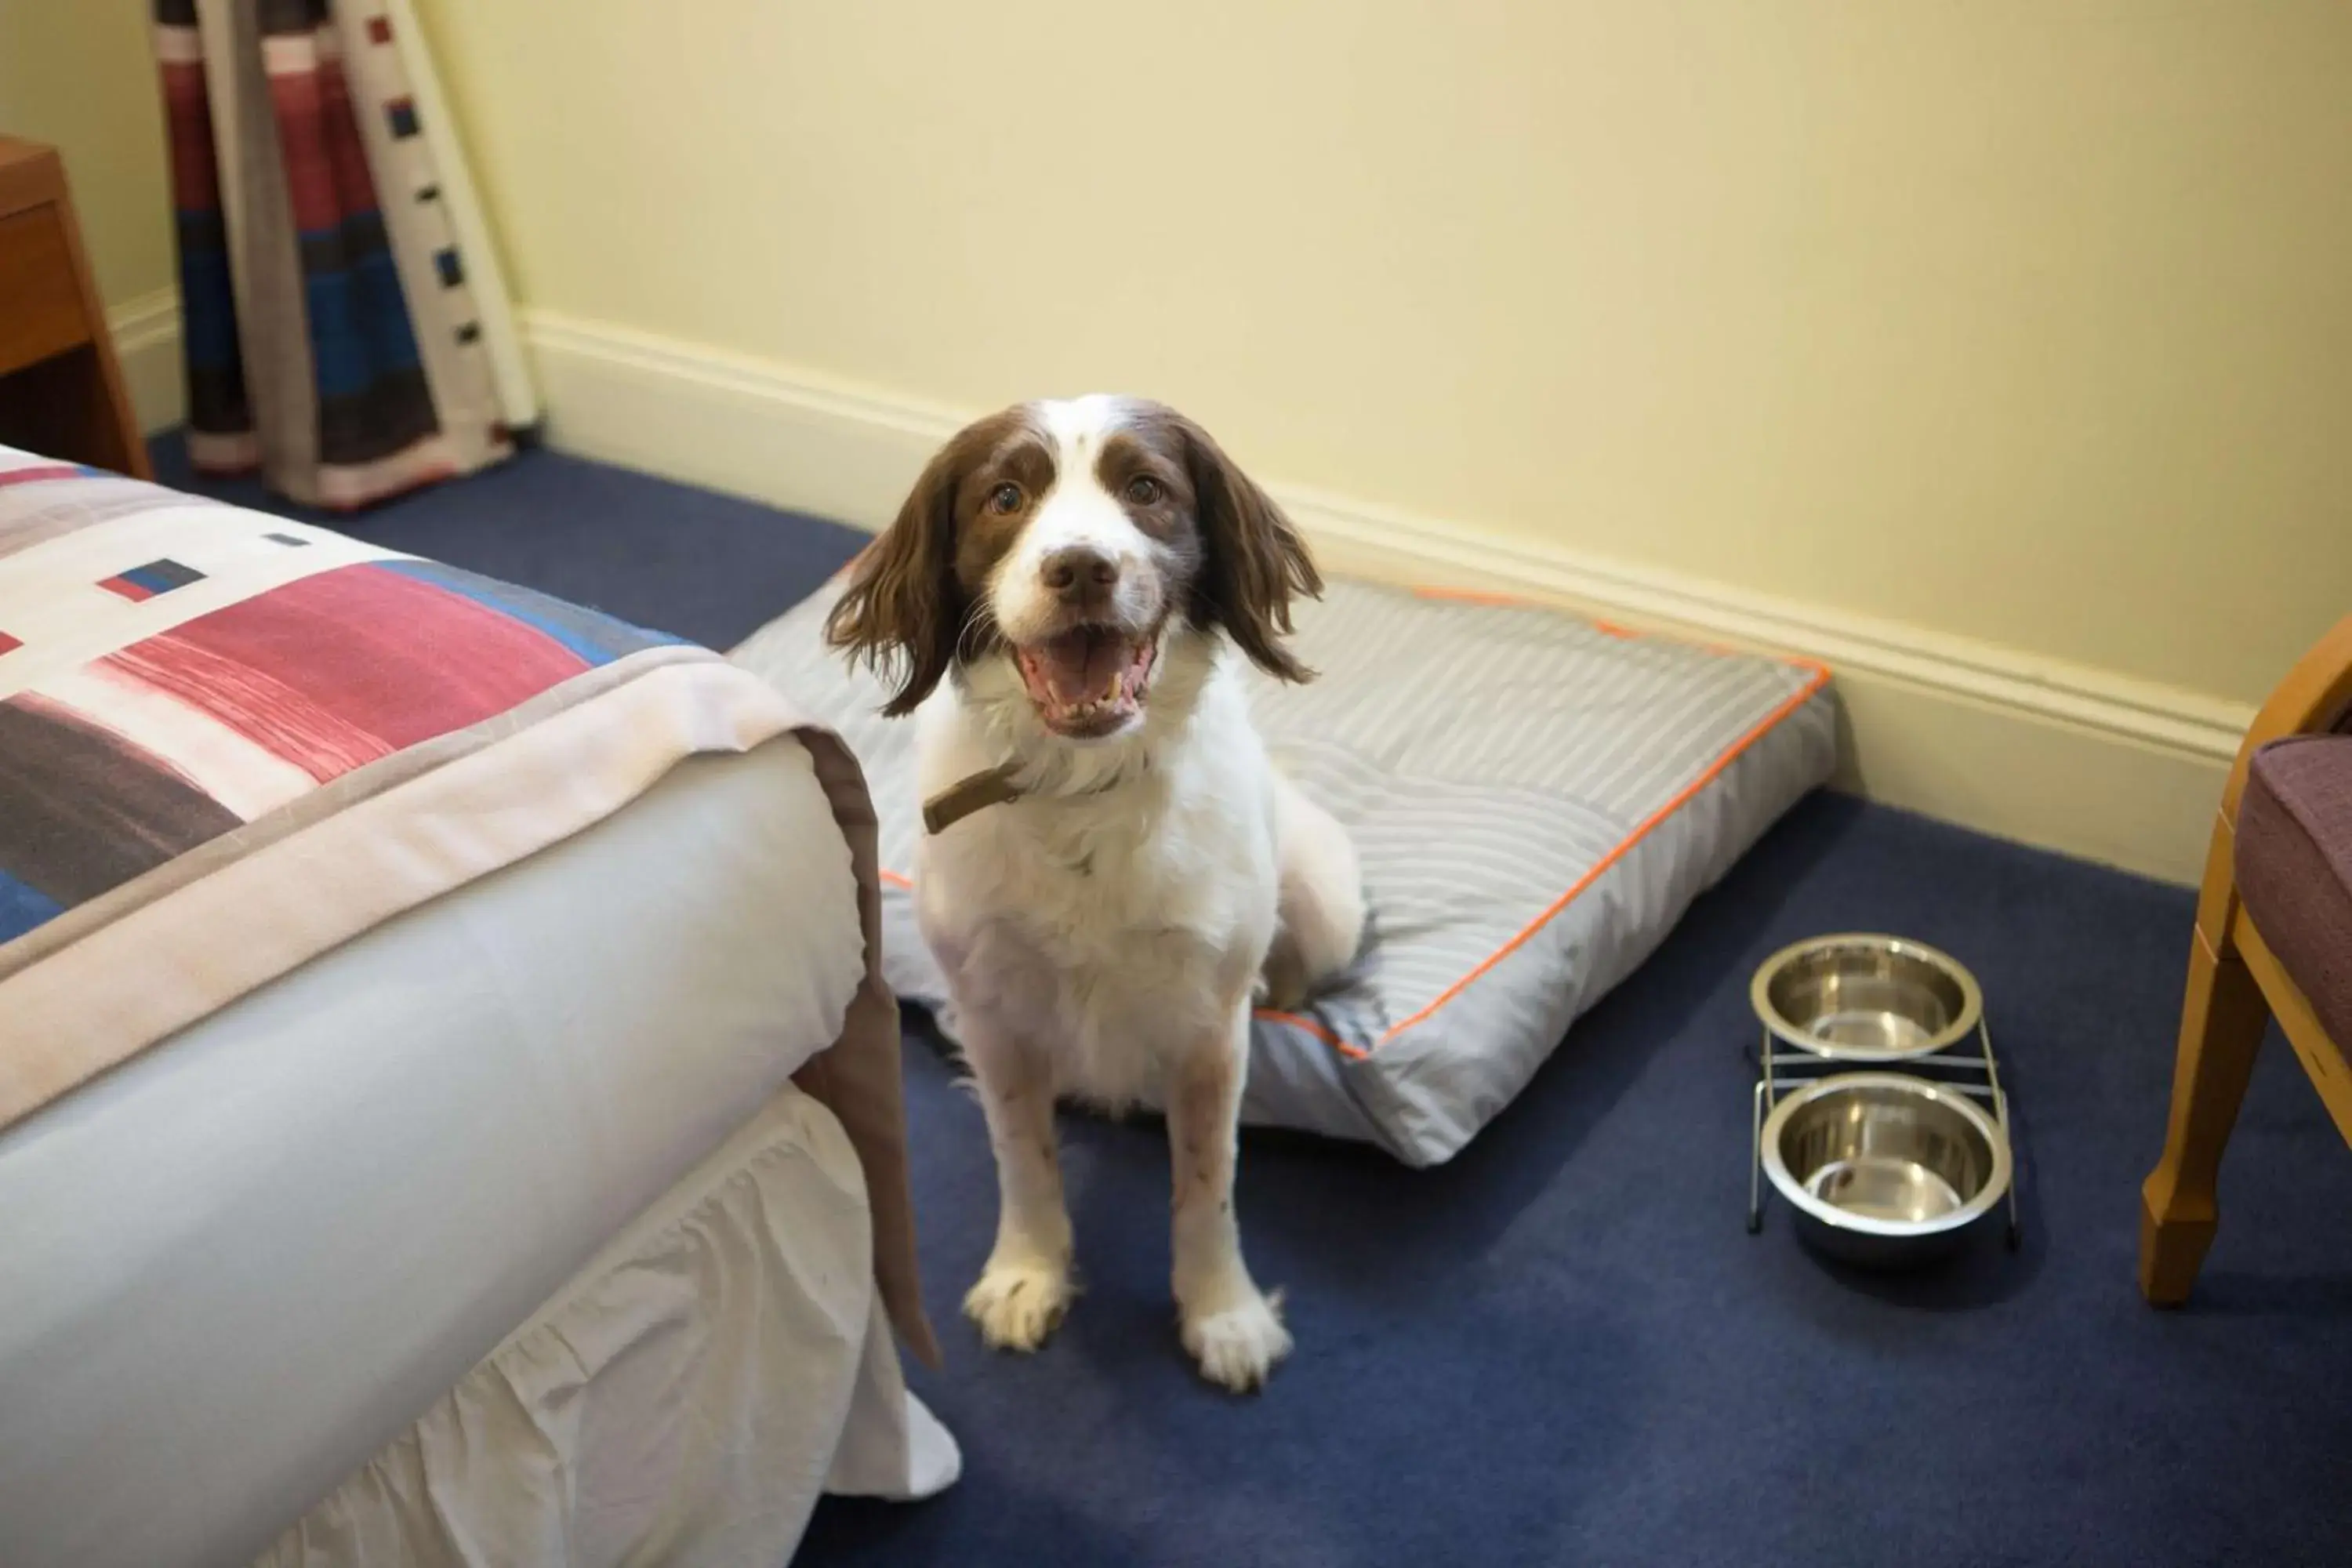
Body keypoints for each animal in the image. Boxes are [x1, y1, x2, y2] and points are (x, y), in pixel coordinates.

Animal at [833, 399, 1364, 1392]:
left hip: (1328, 905)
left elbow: (1208, 1184)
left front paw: (1222, 1312)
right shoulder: (992, 1010)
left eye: (1146, 488)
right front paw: (1027, 1272)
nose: (1080, 567)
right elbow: (1022, 1156)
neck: (1081, 788)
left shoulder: (1209, 1028)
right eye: (1006, 496)